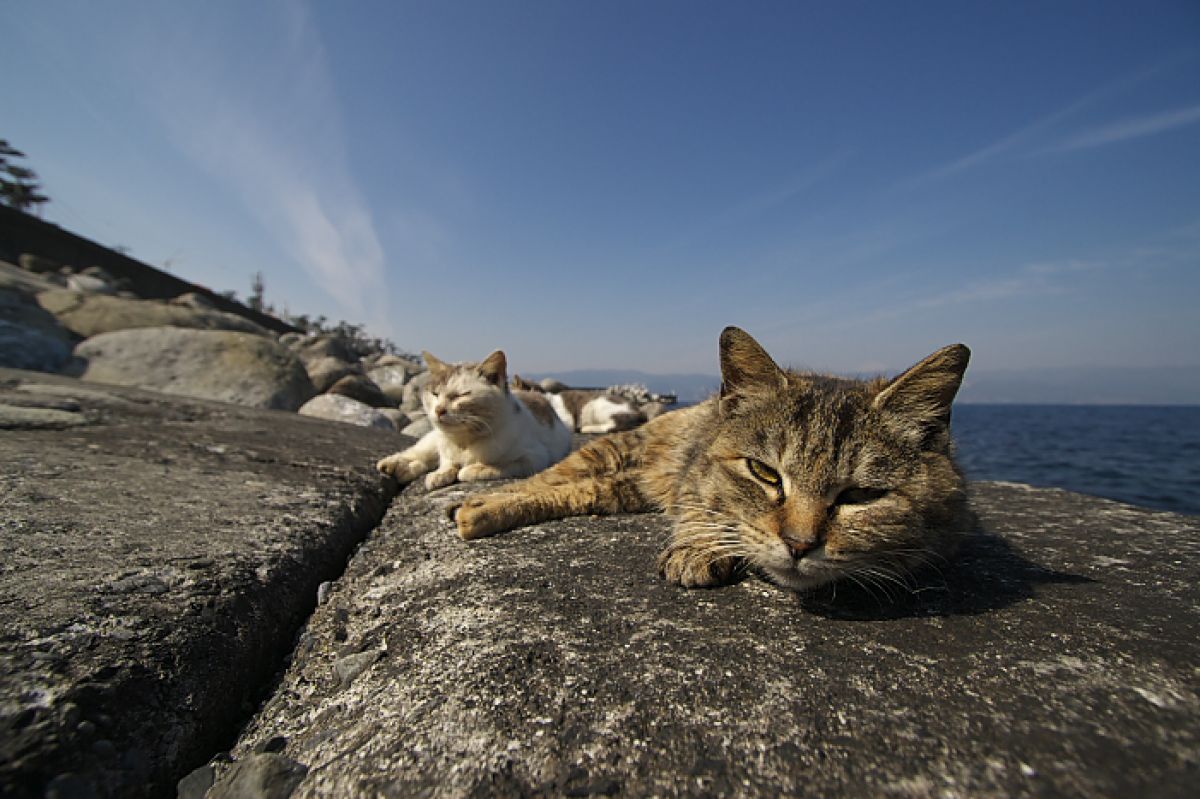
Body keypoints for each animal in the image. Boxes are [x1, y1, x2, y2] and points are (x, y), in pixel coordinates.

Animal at [379, 350, 576, 489]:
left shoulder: (534, 458)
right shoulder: (445, 449)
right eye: (435, 394)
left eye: (461, 395)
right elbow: (446, 462)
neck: (464, 441)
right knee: (418, 453)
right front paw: (441, 473)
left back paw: (404, 471)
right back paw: (392, 464)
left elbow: (493, 467)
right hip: (430, 440)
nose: (439, 409)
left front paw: (470, 469)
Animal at [451, 326, 974, 590]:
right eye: (764, 473)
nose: (800, 545)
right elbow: (707, 509)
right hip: (621, 448)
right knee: (548, 478)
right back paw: (477, 503)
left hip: (625, 486)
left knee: (578, 490)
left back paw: (479, 509)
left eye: (863, 494)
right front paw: (700, 547)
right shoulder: (695, 480)